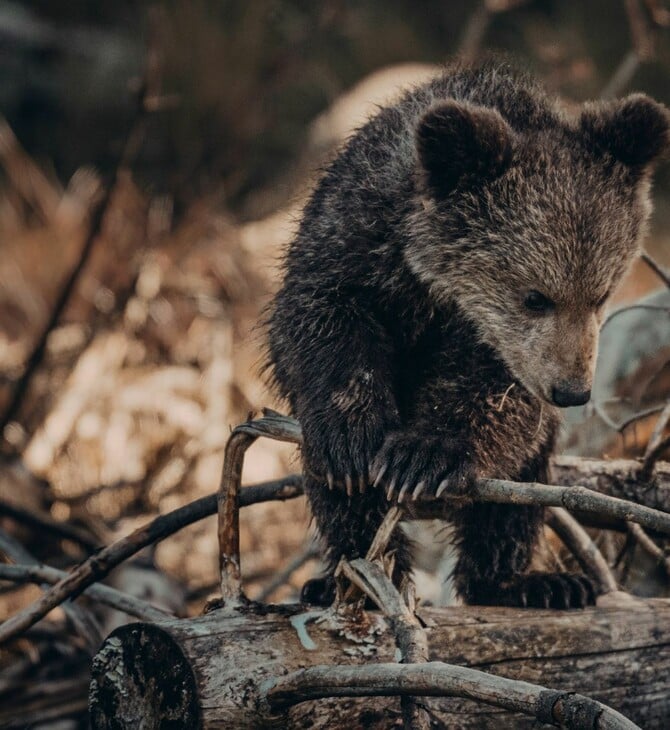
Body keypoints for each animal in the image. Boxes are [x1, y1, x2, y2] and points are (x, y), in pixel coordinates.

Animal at [266, 61, 668, 608]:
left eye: (601, 293)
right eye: (535, 296)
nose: (571, 390)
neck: (436, 285)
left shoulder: (502, 353)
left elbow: (496, 401)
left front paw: (422, 456)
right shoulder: (351, 246)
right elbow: (316, 326)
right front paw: (352, 440)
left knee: (513, 498)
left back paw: (530, 582)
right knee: (340, 500)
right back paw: (350, 576)